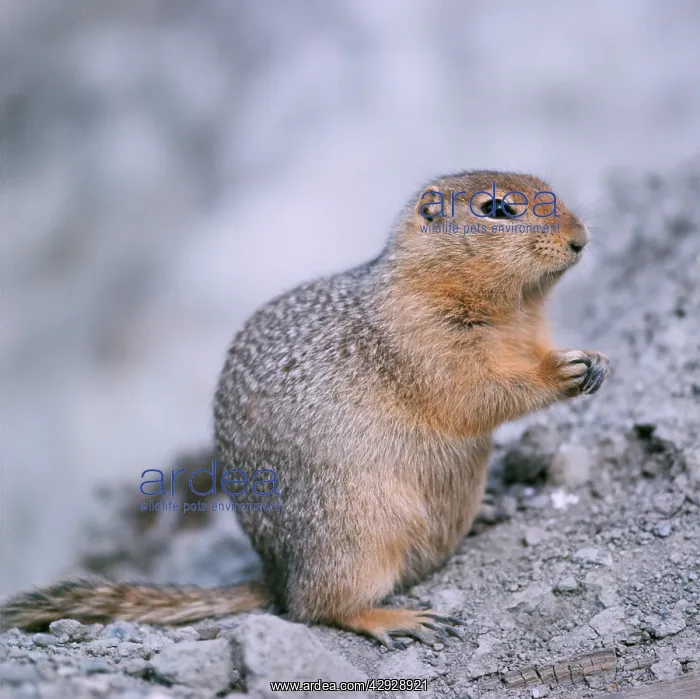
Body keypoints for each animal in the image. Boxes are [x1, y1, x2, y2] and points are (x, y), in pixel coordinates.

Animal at [0, 170, 609, 649]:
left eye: (551, 191)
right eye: (496, 209)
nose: (581, 239)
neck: (513, 310)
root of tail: (275, 575)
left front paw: (596, 360)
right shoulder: (426, 341)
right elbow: (478, 391)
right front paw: (561, 373)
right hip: (357, 536)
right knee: (318, 608)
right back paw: (398, 617)